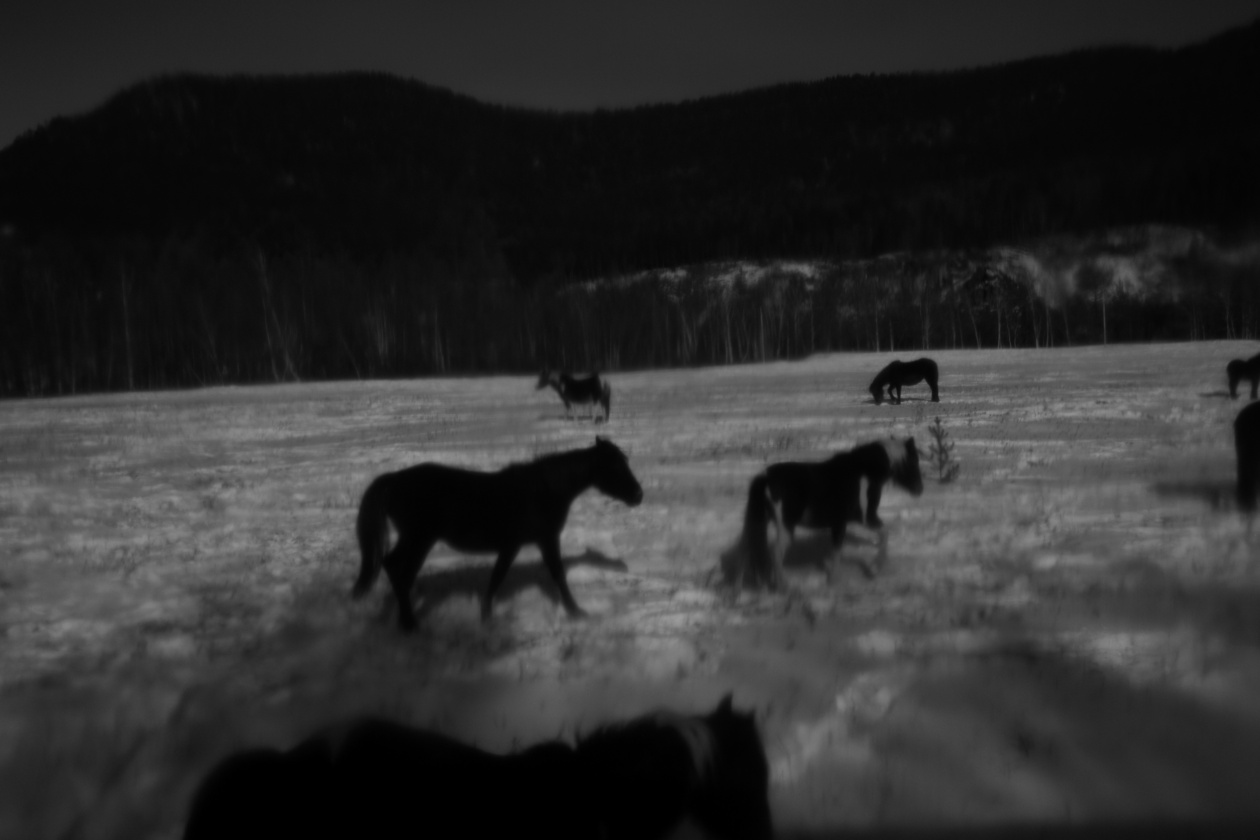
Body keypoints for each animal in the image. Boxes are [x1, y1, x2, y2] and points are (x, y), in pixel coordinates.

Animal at [350, 440, 640, 629]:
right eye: (615, 467)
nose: (638, 495)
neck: (544, 490)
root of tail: (393, 479)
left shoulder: (518, 544)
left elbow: (498, 576)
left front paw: (486, 614)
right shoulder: (541, 540)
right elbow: (553, 573)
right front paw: (576, 611)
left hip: (415, 538)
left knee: (392, 565)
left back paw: (404, 618)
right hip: (419, 538)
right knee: (400, 571)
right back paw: (410, 623)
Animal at [730, 440, 927, 584]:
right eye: (913, 461)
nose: (919, 489)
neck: (864, 473)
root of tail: (765, 477)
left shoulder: (839, 523)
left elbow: (836, 550)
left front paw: (833, 577)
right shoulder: (866, 517)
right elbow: (884, 534)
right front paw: (873, 569)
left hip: (759, 522)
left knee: (745, 553)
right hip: (785, 528)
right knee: (776, 554)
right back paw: (784, 586)